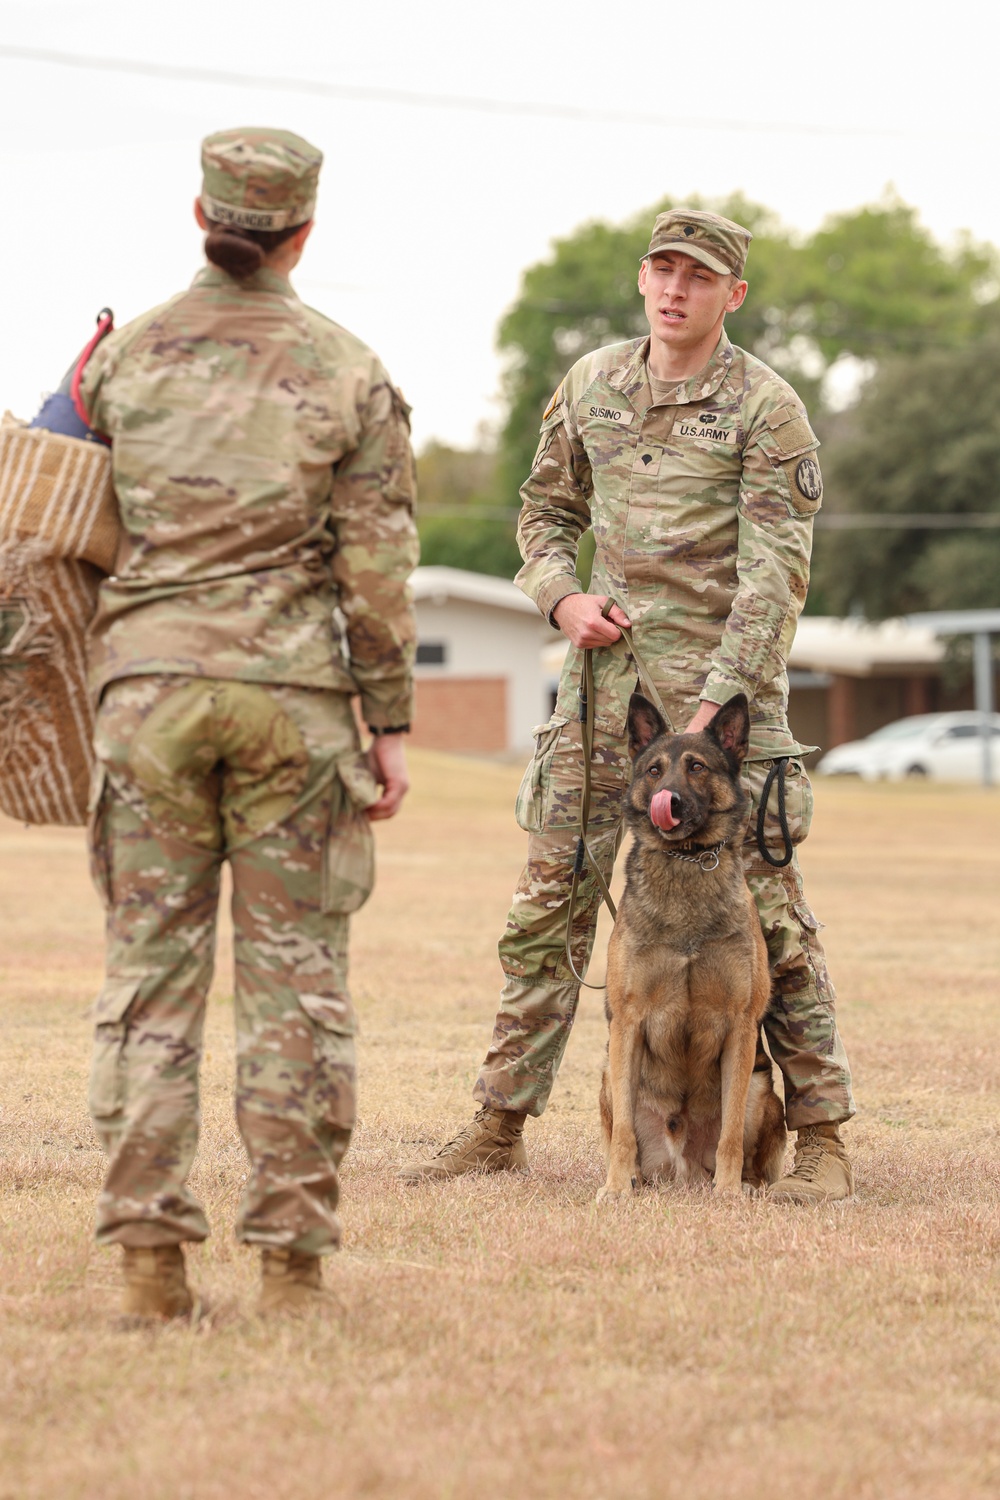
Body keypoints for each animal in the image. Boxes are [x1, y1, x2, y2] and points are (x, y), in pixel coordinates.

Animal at [599, 696, 785, 1200]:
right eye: (653, 771)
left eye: (697, 767)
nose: (669, 800)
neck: (686, 861)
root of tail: (682, 1171)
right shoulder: (628, 1022)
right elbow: (623, 1134)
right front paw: (615, 1188)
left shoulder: (740, 1026)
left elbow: (730, 1133)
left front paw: (728, 1192)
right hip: (608, 1075)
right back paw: (633, 1178)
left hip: (761, 1089)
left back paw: (745, 1185)